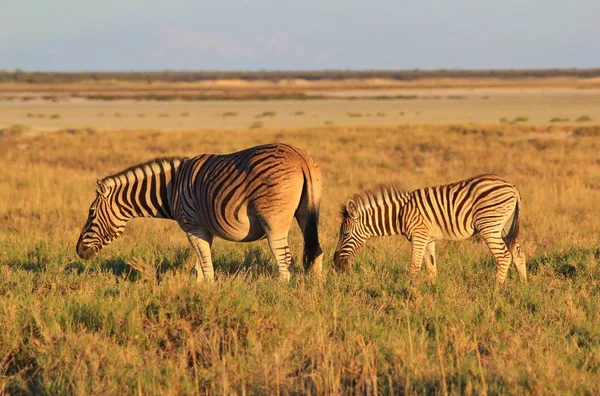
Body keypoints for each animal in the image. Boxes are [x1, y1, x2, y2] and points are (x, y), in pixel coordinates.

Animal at [78, 144, 326, 280]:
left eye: (91, 213)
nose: (79, 251)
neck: (172, 187)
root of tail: (300, 157)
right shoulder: (206, 229)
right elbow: (200, 266)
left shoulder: (193, 226)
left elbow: (205, 266)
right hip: (307, 214)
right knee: (316, 252)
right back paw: (314, 290)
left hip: (274, 221)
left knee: (284, 259)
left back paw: (279, 292)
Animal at [336, 174, 528, 284]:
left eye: (345, 234)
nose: (336, 263)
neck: (400, 213)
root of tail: (512, 187)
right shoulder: (428, 239)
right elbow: (431, 268)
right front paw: (432, 292)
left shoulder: (419, 236)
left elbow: (414, 266)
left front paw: (410, 293)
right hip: (504, 227)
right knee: (518, 254)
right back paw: (523, 286)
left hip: (489, 225)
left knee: (504, 256)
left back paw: (496, 290)